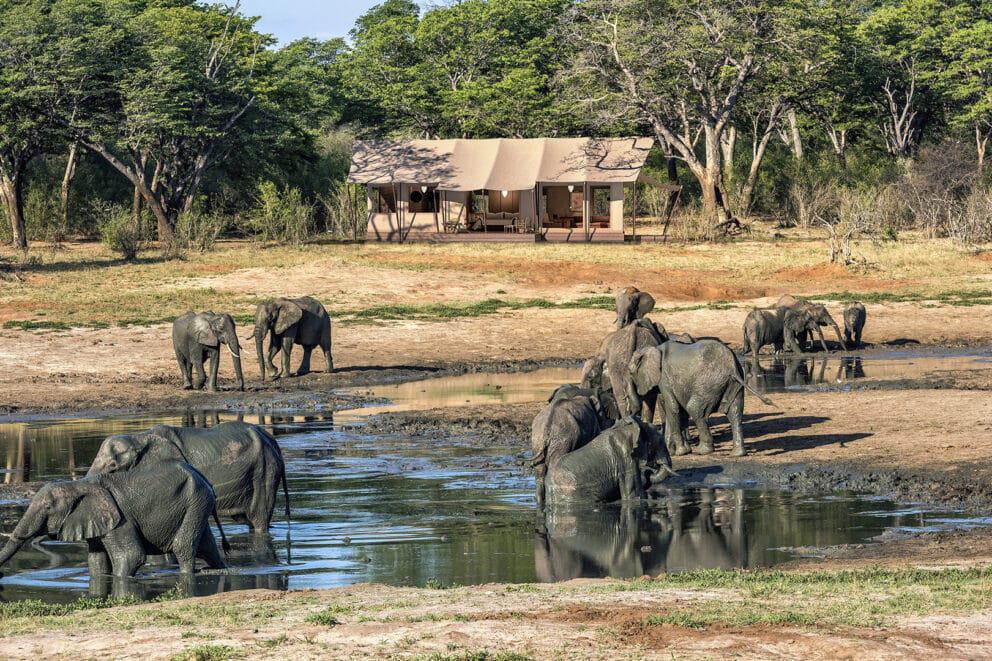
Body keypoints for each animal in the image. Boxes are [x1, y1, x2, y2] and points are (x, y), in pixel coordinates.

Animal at [0, 461, 227, 579]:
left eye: (48, 507)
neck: (79, 485)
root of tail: (203, 477)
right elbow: (96, 561)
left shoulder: (120, 520)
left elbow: (131, 556)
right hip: (197, 504)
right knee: (207, 546)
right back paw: (217, 569)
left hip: (196, 501)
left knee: (183, 547)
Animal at [628, 340, 773, 457]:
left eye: (630, 372)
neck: (654, 348)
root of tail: (732, 365)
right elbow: (675, 410)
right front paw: (675, 451)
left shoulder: (664, 378)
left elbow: (673, 408)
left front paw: (681, 452)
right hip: (734, 384)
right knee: (735, 413)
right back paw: (737, 454)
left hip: (709, 382)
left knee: (695, 410)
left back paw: (703, 451)